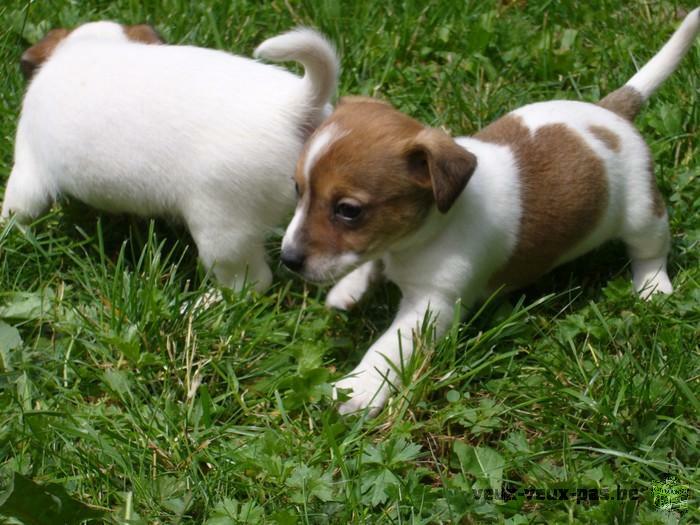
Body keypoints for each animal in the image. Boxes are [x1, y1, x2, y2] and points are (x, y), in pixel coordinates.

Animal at [0, 21, 340, 290]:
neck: (87, 47)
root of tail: (296, 105)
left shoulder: (28, 168)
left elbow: (15, 209)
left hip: (223, 232)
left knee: (250, 283)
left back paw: (205, 303)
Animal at [280, 7, 700, 414]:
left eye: (348, 210)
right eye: (297, 189)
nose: (288, 260)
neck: (424, 232)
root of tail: (611, 112)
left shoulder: (431, 305)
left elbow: (389, 348)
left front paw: (359, 389)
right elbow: (370, 262)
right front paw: (348, 288)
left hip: (642, 212)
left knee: (650, 250)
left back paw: (653, 287)